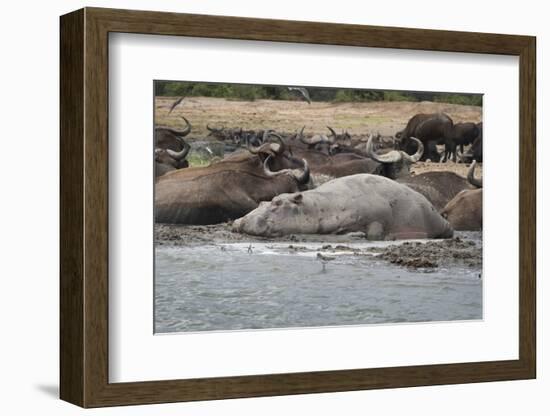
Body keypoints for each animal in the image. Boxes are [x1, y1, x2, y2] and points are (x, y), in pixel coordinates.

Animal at [233, 173, 452, 240]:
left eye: (277, 202)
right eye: (263, 201)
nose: (242, 220)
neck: (317, 207)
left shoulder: (377, 217)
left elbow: (374, 230)